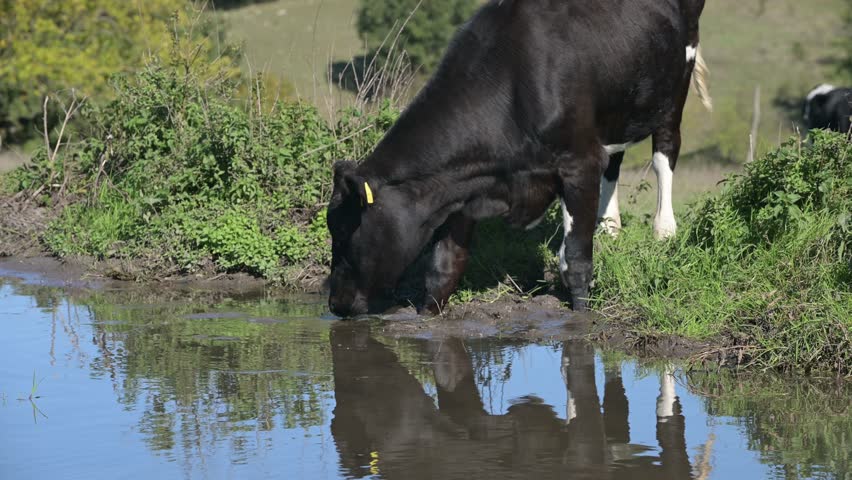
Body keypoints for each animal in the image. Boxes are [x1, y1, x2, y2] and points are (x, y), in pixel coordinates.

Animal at [327, 0, 712, 317]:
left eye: (346, 231)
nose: (335, 304)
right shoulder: (463, 187)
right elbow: (443, 269)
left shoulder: (579, 163)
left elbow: (576, 261)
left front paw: (581, 319)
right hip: (616, 107)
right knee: (614, 162)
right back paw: (610, 230)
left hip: (674, 87)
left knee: (665, 152)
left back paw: (664, 233)